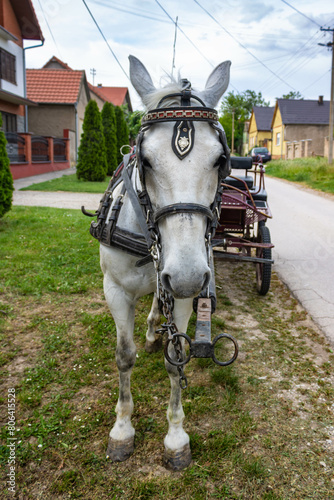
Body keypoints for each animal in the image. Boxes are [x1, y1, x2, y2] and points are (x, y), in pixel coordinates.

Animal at [98, 56, 230, 470]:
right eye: (146, 160)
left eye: (220, 160)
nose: (186, 277)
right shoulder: (115, 291)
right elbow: (124, 357)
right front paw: (122, 429)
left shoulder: (187, 296)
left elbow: (177, 361)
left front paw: (175, 436)